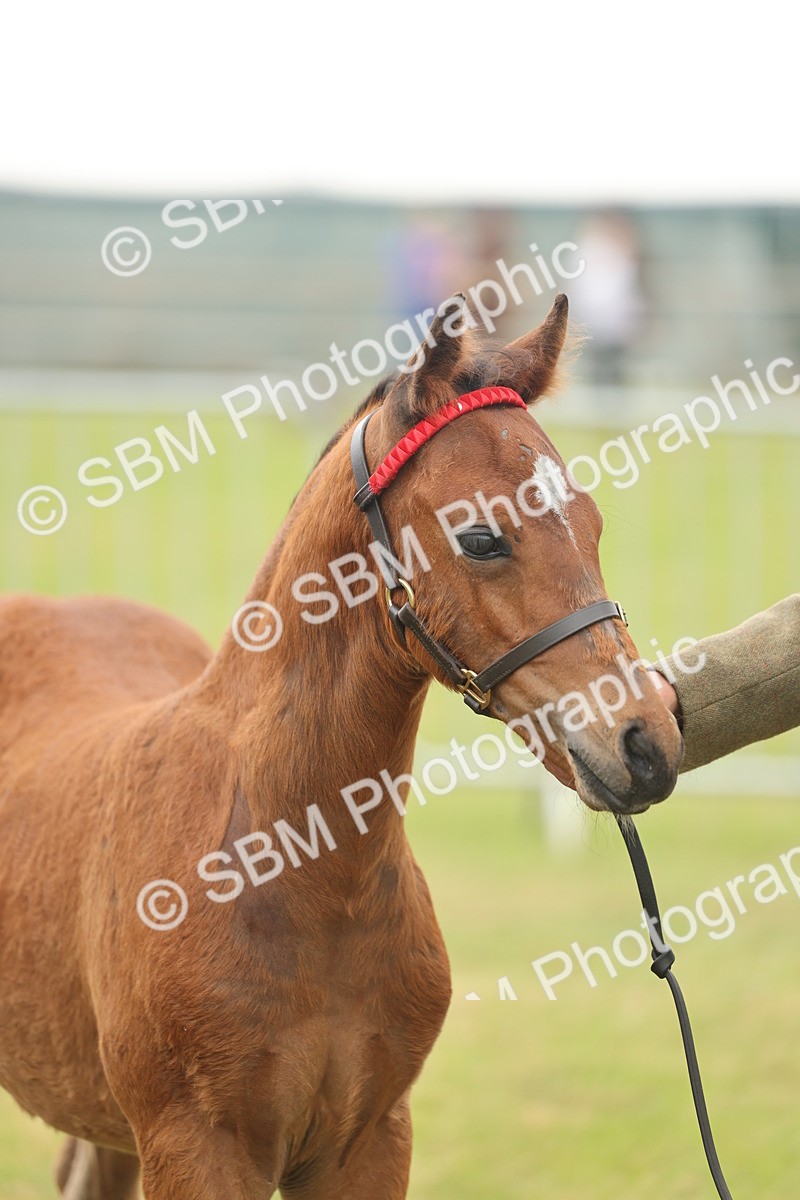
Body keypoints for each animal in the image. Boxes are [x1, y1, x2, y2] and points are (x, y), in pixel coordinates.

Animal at [0, 293, 683, 1199]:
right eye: (480, 537)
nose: (646, 742)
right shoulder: (198, 1147)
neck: (296, 865)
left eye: (592, 520)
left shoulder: (368, 1139)